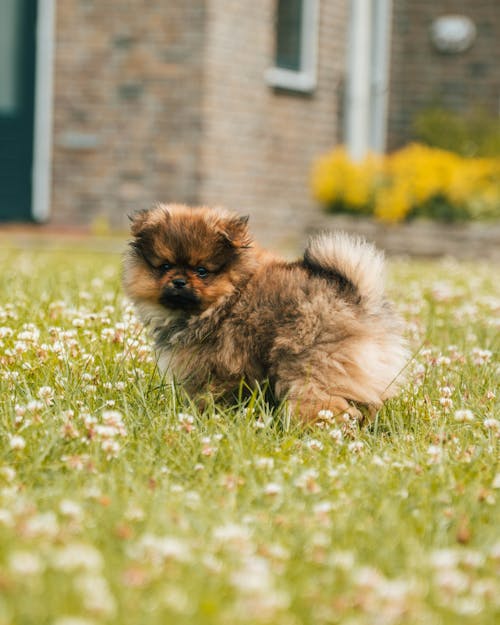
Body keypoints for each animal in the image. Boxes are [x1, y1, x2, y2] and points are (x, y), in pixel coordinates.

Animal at [123, 202, 408, 422]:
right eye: (165, 266)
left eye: (202, 271)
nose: (179, 281)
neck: (225, 300)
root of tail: (358, 299)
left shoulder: (217, 368)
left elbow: (210, 396)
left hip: (310, 369)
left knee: (327, 404)